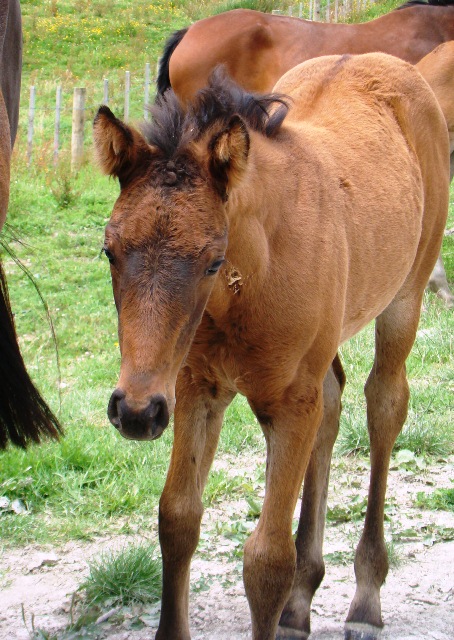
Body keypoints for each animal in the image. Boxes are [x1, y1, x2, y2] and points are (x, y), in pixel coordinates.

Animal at [94, 53, 449, 640]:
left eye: (212, 260)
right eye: (109, 251)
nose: (137, 411)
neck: (249, 282)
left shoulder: (288, 403)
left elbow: (266, 559)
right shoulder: (196, 387)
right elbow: (177, 517)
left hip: (405, 296)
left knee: (384, 404)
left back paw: (365, 599)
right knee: (333, 405)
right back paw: (301, 603)